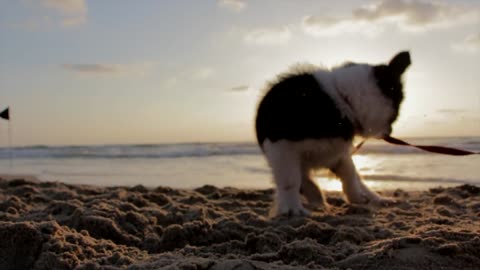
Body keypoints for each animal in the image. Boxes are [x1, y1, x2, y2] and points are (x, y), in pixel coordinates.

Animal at [256, 51, 410, 215]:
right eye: (396, 113)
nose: (389, 132)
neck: (340, 99)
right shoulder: (282, 149)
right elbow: (290, 181)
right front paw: (293, 208)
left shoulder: (336, 152)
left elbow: (350, 172)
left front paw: (355, 196)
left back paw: (376, 198)